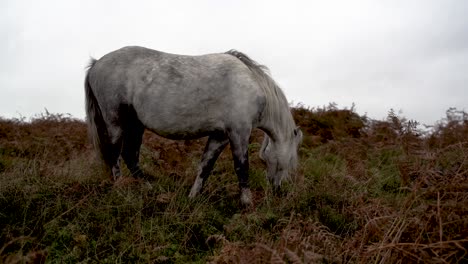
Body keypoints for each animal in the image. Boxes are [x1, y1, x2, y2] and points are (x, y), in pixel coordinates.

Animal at [85, 46, 304, 205]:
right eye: (291, 159)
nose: (277, 189)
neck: (252, 84)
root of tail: (96, 64)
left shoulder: (220, 136)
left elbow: (205, 166)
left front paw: (193, 197)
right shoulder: (239, 132)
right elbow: (242, 167)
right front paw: (246, 203)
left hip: (135, 125)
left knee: (130, 155)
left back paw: (149, 189)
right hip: (116, 123)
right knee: (115, 155)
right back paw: (123, 191)